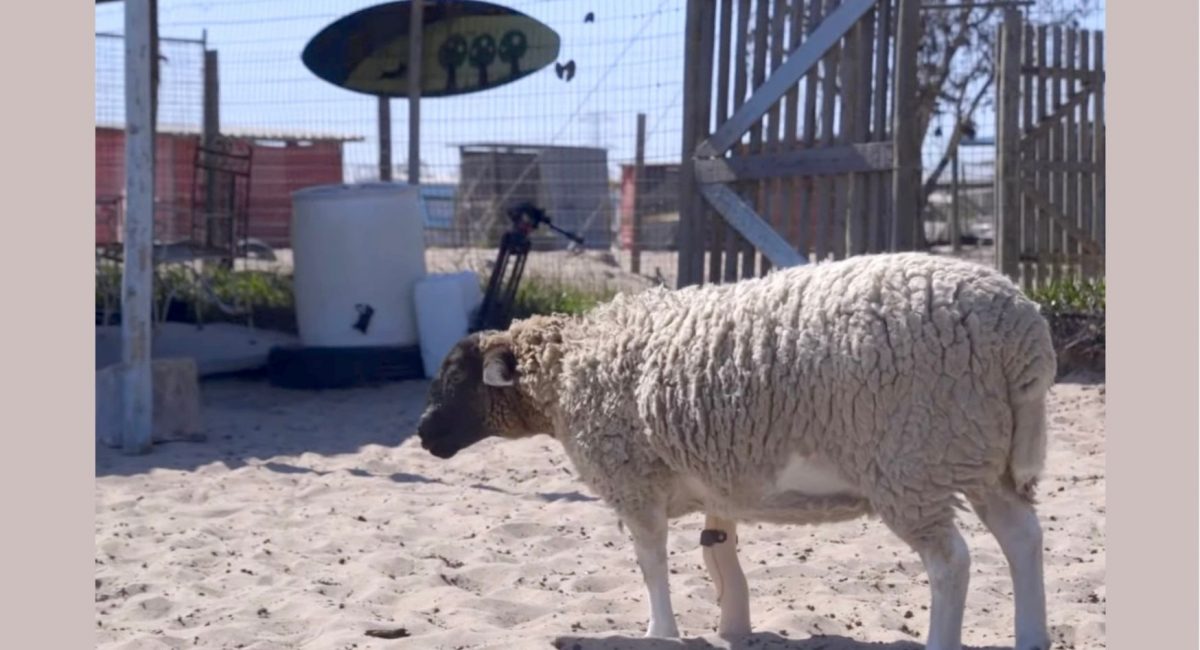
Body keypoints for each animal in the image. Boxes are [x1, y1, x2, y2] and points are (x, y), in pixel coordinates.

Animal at [415, 252, 1057, 650]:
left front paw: (661, 632)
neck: (569, 367)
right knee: (1023, 539)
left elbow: (651, 562)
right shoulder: (716, 477)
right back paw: (1031, 637)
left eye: (456, 376)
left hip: (914, 462)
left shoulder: (633, 479)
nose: (422, 434)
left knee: (951, 562)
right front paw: (732, 625)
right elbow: (719, 554)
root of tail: (1022, 334)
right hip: (979, 457)